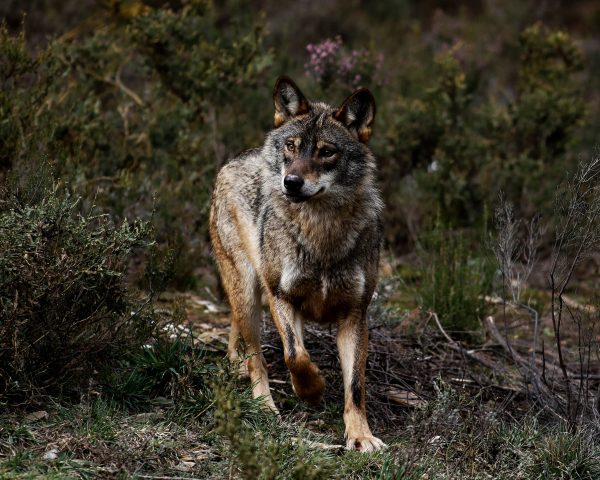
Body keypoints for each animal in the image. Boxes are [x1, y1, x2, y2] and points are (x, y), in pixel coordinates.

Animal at [209, 74, 382, 450]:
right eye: (292, 146)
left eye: (326, 152)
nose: (291, 182)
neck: (322, 235)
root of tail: (237, 158)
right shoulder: (281, 296)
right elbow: (295, 355)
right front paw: (312, 389)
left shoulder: (355, 314)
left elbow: (355, 386)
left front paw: (360, 436)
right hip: (249, 293)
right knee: (257, 358)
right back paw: (264, 406)